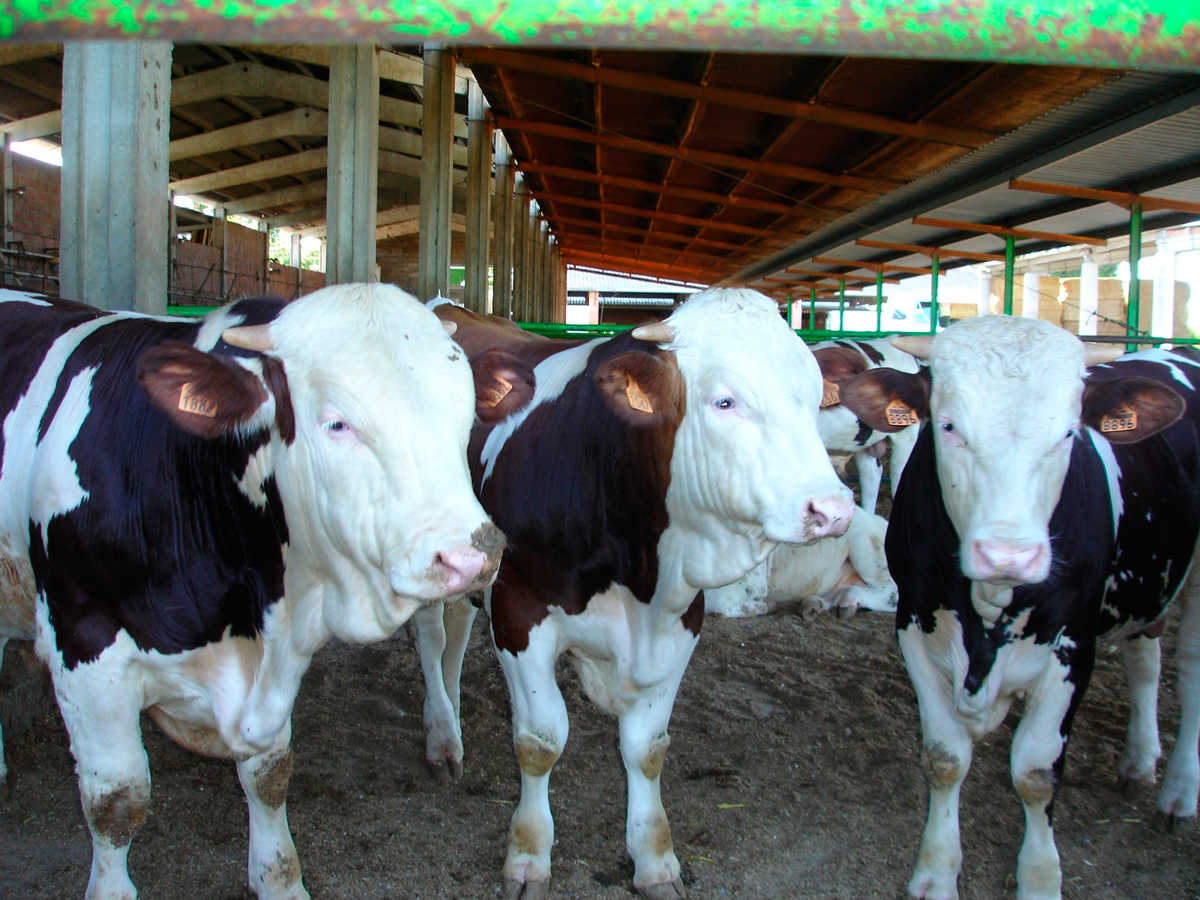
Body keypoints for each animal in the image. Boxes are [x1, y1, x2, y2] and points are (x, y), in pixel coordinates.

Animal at [0, 286, 525, 900]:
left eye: (464, 416)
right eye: (336, 424)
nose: (472, 555)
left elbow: (269, 773)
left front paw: (279, 878)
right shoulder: (84, 650)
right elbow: (116, 801)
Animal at [432, 289, 854, 900]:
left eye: (813, 399)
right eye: (725, 401)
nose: (834, 510)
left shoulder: (680, 620)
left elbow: (647, 748)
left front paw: (655, 860)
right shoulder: (518, 611)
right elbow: (539, 740)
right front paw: (528, 855)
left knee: (455, 633)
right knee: (429, 639)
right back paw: (441, 735)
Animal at [705, 504, 897, 624]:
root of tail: (881, 520)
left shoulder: (748, 582)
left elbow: (717, 603)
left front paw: (764, 605)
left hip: (866, 545)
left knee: (892, 592)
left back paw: (847, 600)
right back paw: (814, 605)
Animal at [840, 314, 1200, 897]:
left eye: (1069, 433)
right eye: (948, 425)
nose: (1008, 553)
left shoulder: (1073, 647)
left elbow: (1035, 773)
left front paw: (1039, 877)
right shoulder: (914, 628)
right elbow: (944, 757)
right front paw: (936, 870)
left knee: (1191, 676)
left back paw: (1180, 792)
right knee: (1146, 657)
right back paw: (1140, 761)